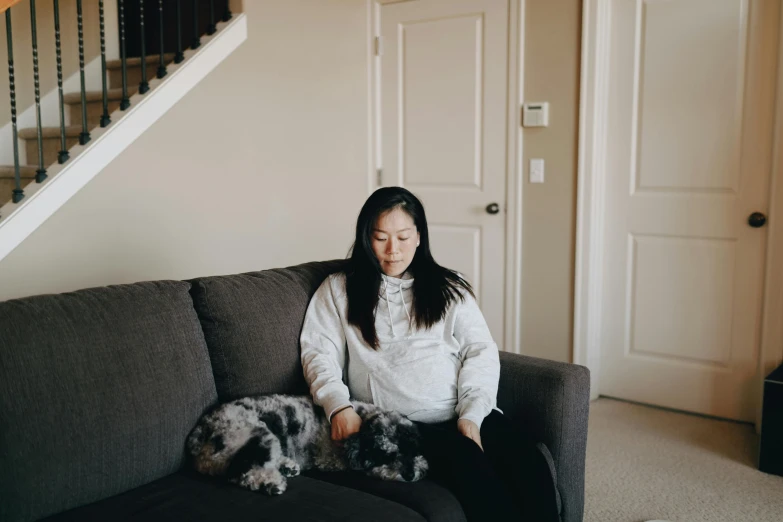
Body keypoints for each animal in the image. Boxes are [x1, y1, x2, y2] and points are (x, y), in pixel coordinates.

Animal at [186, 392, 428, 494]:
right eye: (386, 455)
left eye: (414, 448)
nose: (410, 474)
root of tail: (200, 432)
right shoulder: (328, 459)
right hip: (259, 435)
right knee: (245, 472)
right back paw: (272, 483)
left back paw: (287, 467)